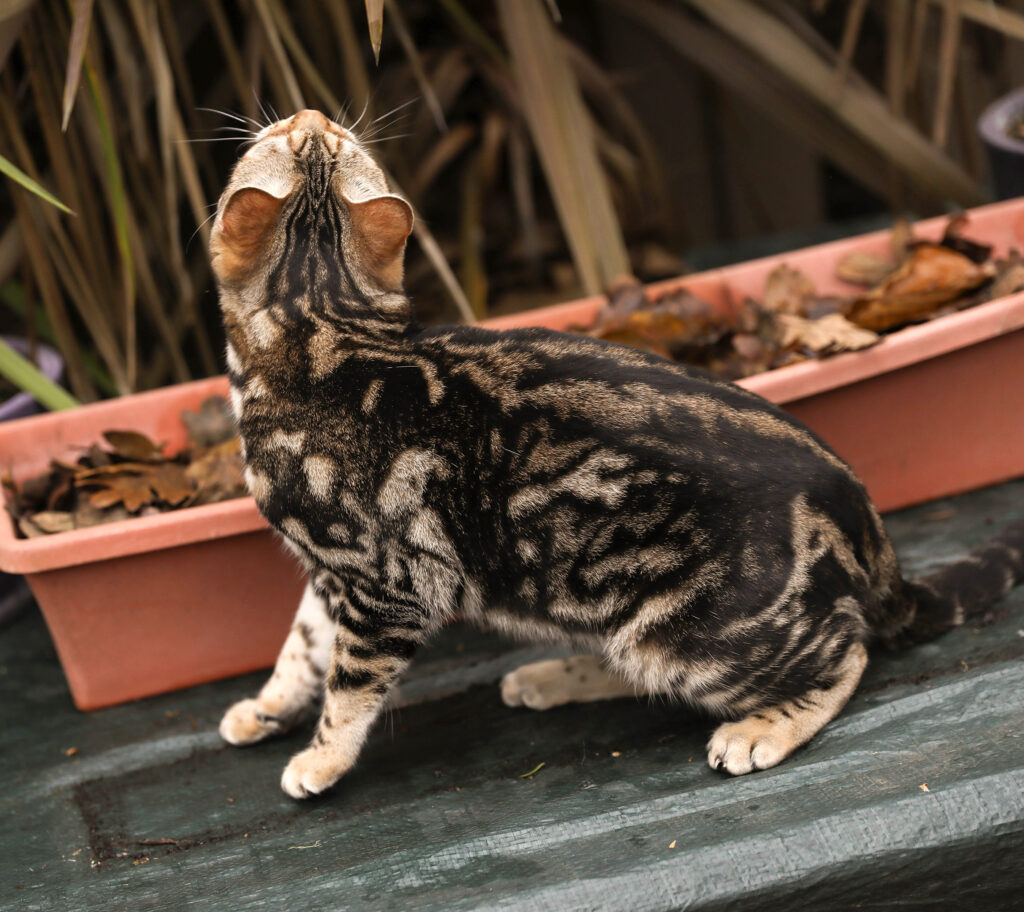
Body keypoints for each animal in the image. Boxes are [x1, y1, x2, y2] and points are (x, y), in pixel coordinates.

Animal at [211, 112, 1019, 798]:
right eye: (304, 131)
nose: (312, 114)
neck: (323, 337)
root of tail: (864, 520)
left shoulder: (387, 583)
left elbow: (349, 685)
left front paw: (319, 760)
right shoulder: (333, 571)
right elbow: (301, 649)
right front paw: (264, 706)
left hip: (692, 635)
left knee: (847, 652)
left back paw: (760, 727)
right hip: (606, 606)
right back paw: (555, 677)